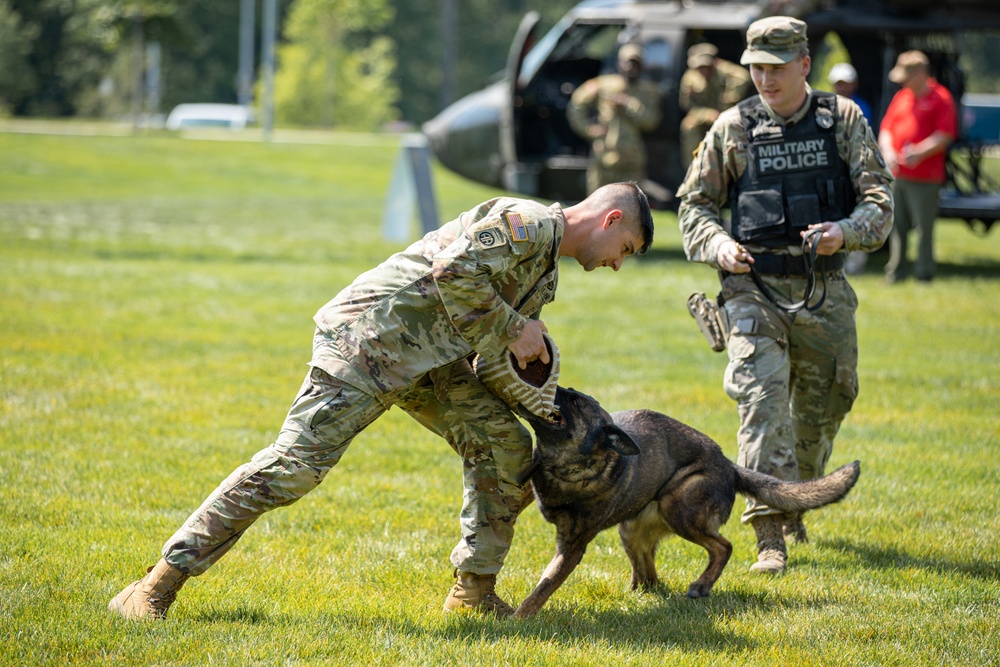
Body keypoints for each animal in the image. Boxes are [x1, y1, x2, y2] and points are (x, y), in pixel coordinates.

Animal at [516, 388, 860, 620]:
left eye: (574, 401)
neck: (568, 466)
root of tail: (729, 465)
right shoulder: (531, 483)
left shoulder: (573, 545)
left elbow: (547, 581)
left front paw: (520, 617)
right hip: (632, 530)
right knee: (649, 577)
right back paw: (639, 592)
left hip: (678, 506)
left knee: (723, 547)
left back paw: (702, 585)